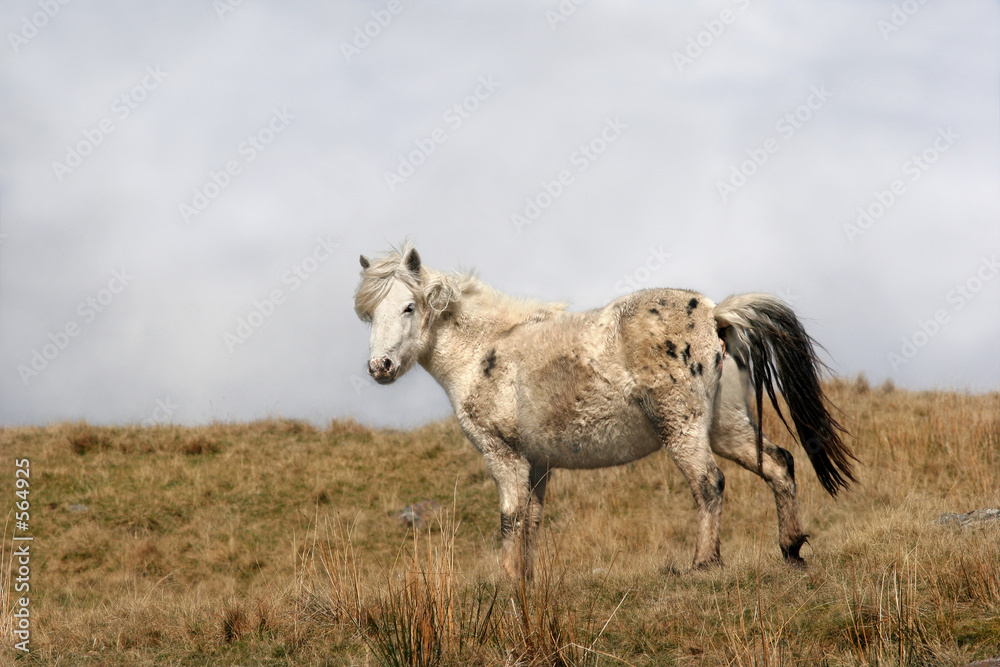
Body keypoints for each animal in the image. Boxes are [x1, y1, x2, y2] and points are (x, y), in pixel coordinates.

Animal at [354, 243, 856, 579]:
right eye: (370, 314)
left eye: (408, 306)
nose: (379, 367)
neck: (486, 351)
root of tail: (715, 316)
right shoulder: (538, 463)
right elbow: (532, 520)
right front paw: (527, 581)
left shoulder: (504, 456)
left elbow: (510, 517)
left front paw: (508, 580)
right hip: (726, 425)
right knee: (778, 464)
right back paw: (790, 548)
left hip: (683, 428)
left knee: (709, 483)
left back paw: (703, 563)